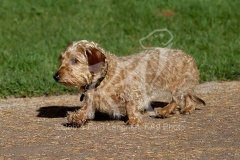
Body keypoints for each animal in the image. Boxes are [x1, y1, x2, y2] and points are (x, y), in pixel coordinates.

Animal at [53, 40, 205, 126]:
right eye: (62, 59)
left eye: (75, 60)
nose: (55, 76)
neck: (104, 77)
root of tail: (190, 57)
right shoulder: (91, 100)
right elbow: (86, 110)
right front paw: (76, 118)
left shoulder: (133, 91)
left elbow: (131, 106)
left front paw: (133, 120)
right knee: (187, 96)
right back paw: (188, 108)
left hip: (177, 85)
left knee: (176, 99)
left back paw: (165, 111)